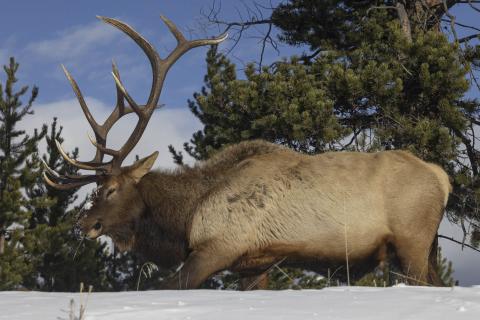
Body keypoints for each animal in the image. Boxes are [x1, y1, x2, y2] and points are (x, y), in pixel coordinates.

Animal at [43, 15, 452, 288]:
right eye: (95, 189)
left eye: (111, 189)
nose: (84, 225)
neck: (185, 217)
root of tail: (442, 177)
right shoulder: (255, 263)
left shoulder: (218, 247)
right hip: (420, 248)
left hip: (412, 241)